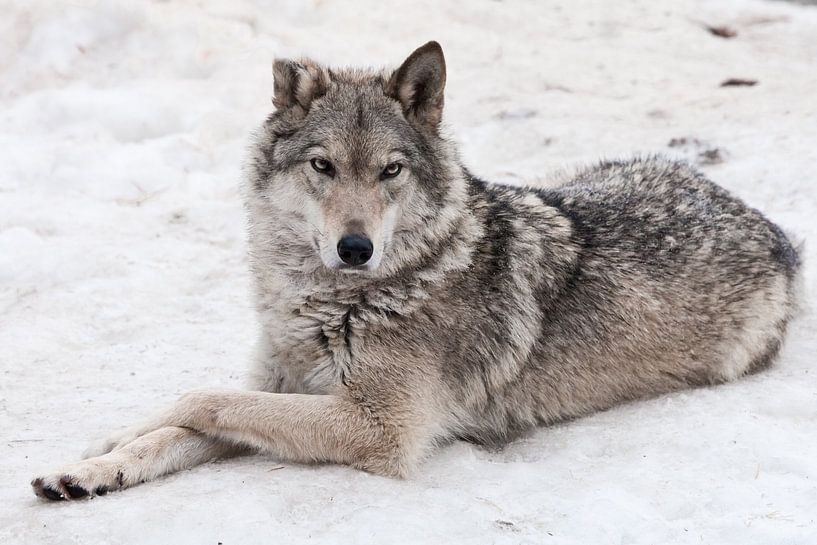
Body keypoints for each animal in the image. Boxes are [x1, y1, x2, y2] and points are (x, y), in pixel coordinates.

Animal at [32, 41, 800, 500]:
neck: (330, 303)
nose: (355, 247)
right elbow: (183, 422)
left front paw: (118, 437)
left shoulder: (376, 428)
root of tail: (766, 224)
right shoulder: (283, 384)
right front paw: (94, 462)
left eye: (390, 170)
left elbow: (204, 397)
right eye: (323, 166)